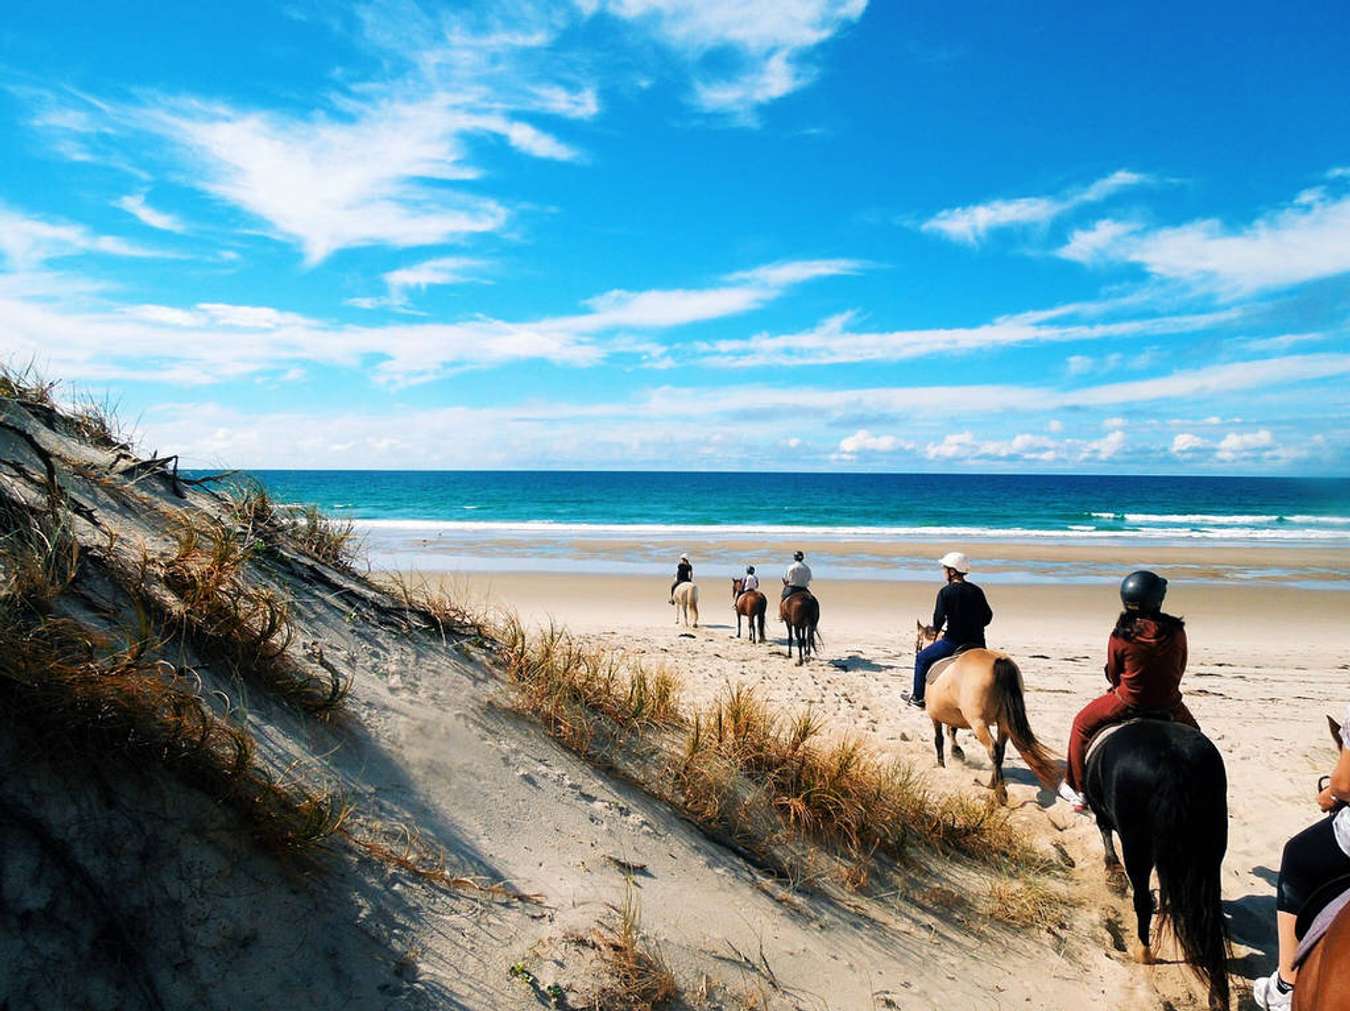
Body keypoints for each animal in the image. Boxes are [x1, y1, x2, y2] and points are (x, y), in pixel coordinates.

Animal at [912, 618, 1058, 799]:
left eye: (917, 642)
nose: (917, 650)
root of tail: (999, 662)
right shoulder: (954, 713)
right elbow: (952, 731)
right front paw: (957, 752)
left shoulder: (935, 715)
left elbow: (939, 739)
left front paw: (941, 765)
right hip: (1004, 722)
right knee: (1000, 750)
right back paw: (992, 784)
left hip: (978, 722)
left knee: (993, 749)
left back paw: (1000, 792)